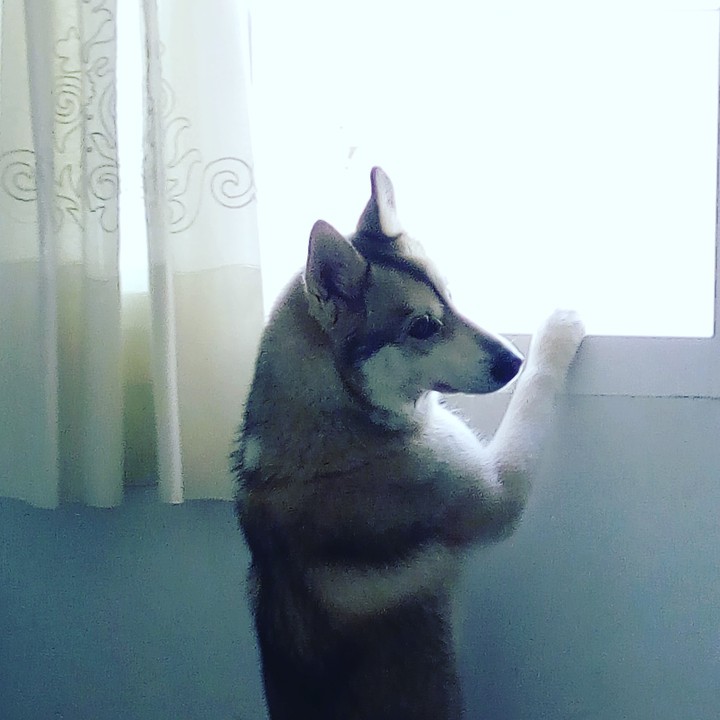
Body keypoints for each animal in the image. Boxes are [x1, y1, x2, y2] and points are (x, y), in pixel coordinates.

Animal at [234, 167, 584, 720]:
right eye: (422, 326)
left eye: (451, 299)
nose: (511, 360)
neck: (342, 422)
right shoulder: (496, 495)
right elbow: (533, 395)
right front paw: (556, 333)